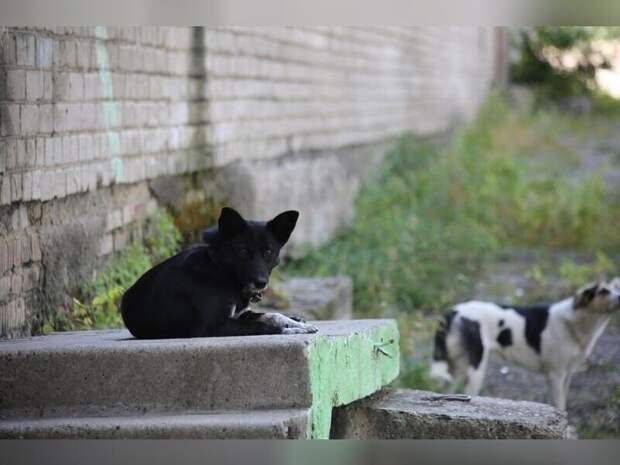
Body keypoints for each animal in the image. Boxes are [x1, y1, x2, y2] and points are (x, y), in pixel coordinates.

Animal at [120, 207, 318, 338]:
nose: (261, 283)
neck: (221, 271)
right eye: (243, 251)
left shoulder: (241, 314)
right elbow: (261, 326)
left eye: (268, 252)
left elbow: (273, 315)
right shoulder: (213, 327)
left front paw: (294, 322)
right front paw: (291, 329)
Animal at [432, 278, 620, 408]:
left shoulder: (568, 374)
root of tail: (455, 310)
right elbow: (559, 405)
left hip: (457, 368)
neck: (574, 322)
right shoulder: (555, 374)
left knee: (447, 391)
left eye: (616, 288)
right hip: (476, 369)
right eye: (603, 291)